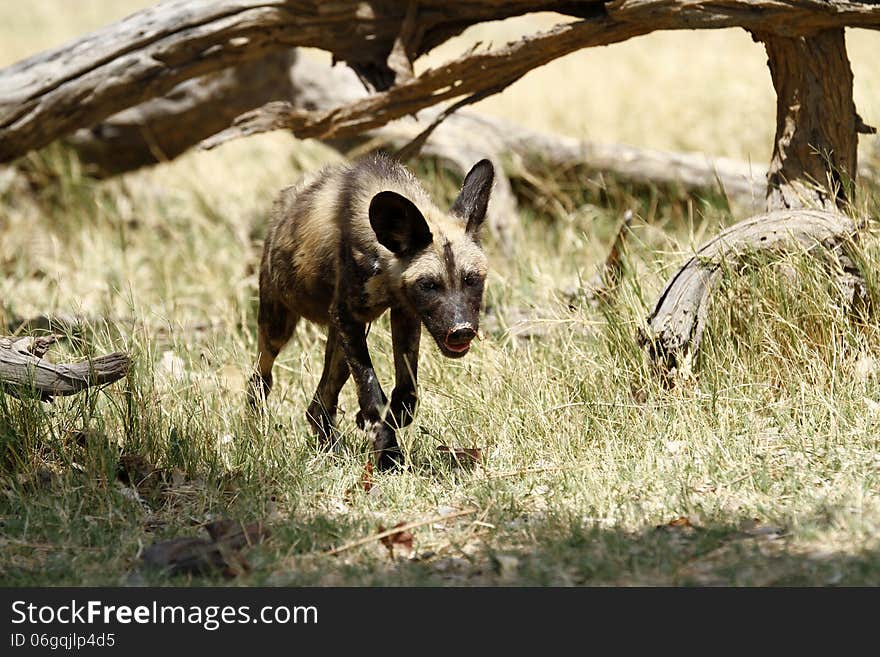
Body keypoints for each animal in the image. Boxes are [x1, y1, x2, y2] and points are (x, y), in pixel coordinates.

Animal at [251, 151, 492, 468]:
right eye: (429, 285)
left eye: (471, 280)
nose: (461, 330)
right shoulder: (349, 317)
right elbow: (372, 393)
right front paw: (389, 456)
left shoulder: (404, 313)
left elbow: (407, 393)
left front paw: (386, 422)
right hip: (279, 327)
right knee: (260, 379)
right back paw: (256, 429)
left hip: (340, 347)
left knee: (318, 405)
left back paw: (333, 451)